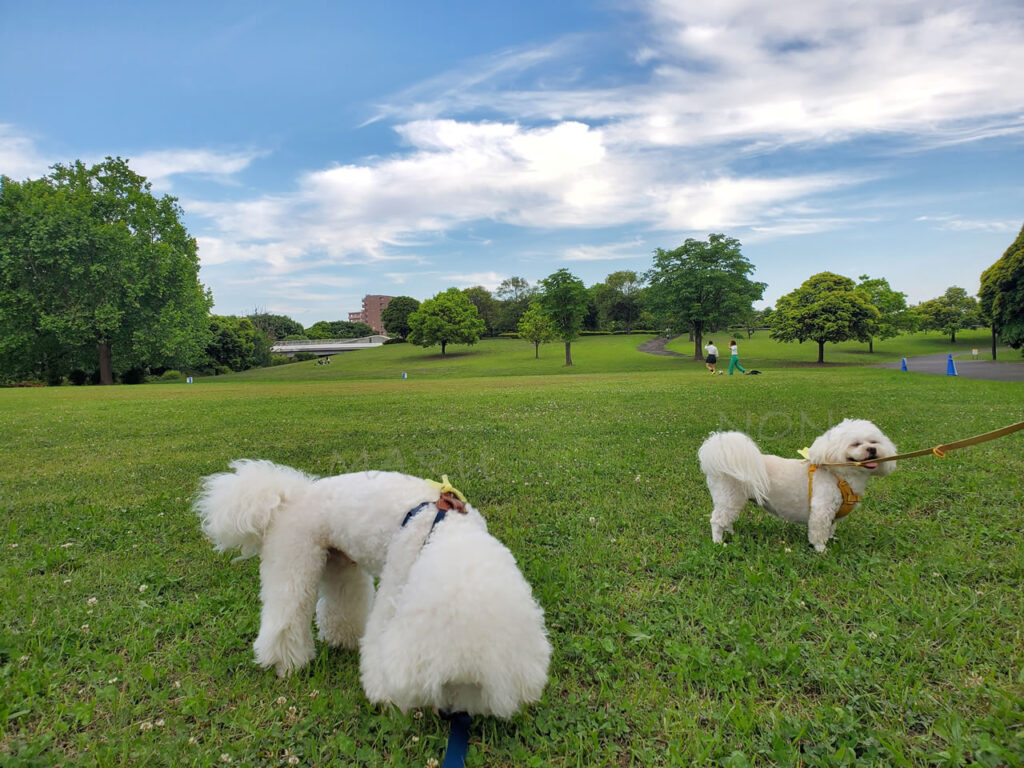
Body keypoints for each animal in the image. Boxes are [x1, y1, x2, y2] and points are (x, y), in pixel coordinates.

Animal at [192, 460, 552, 720]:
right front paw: (386, 695)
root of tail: (288, 496)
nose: (452, 714)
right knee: (286, 612)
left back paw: (345, 639)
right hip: (294, 559)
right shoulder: (400, 575)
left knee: (341, 601)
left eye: (474, 686)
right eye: (449, 682)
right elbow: (381, 634)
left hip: (339, 561)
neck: (446, 532)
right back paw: (287, 663)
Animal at [696, 417, 897, 548]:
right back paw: (718, 542)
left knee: (725, 519)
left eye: (874, 442)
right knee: (716, 520)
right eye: (855, 444)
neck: (840, 475)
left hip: (730, 501)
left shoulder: (833, 513)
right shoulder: (821, 510)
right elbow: (819, 534)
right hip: (730, 497)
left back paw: (730, 533)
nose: (871, 449)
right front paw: (822, 551)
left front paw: (832, 540)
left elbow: (830, 529)